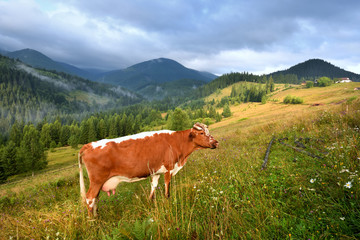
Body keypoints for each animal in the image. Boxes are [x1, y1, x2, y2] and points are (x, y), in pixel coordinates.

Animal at [79, 122, 219, 216]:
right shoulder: (168, 169)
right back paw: (93, 221)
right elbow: (167, 191)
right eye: (201, 133)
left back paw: (97, 216)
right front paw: (167, 203)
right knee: (90, 198)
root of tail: (88, 145)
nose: (216, 142)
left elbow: (153, 188)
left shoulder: (155, 171)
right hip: (96, 180)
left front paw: (150, 203)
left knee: (95, 199)